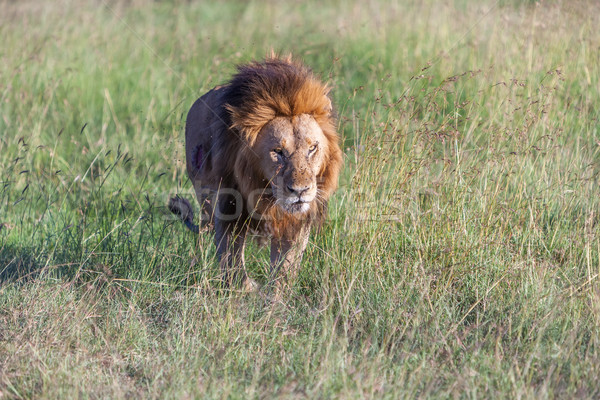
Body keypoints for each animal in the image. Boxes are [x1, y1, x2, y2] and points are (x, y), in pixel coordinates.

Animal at [169, 54, 342, 292]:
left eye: (312, 148)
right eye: (278, 152)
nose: (300, 190)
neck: (264, 192)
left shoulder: (296, 223)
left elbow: (285, 269)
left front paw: (275, 297)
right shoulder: (228, 210)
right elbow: (232, 262)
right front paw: (244, 290)